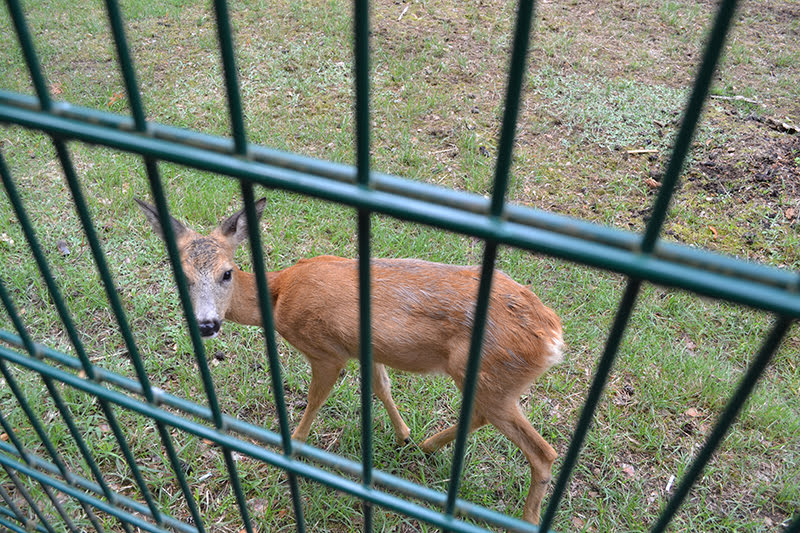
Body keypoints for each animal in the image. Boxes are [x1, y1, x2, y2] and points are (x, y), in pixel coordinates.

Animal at [136, 196, 564, 524]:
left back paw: (526, 518)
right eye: (182, 275)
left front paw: (292, 450)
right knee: (482, 416)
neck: (277, 295)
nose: (207, 324)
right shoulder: (366, 348)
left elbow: (314, 400)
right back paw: (427, 445)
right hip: (490, 379)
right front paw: (403, 434)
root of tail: (552, 337)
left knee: (544, 452)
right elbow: (381, 386)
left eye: (227, 273)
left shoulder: (327, 350)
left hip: (493, 373)